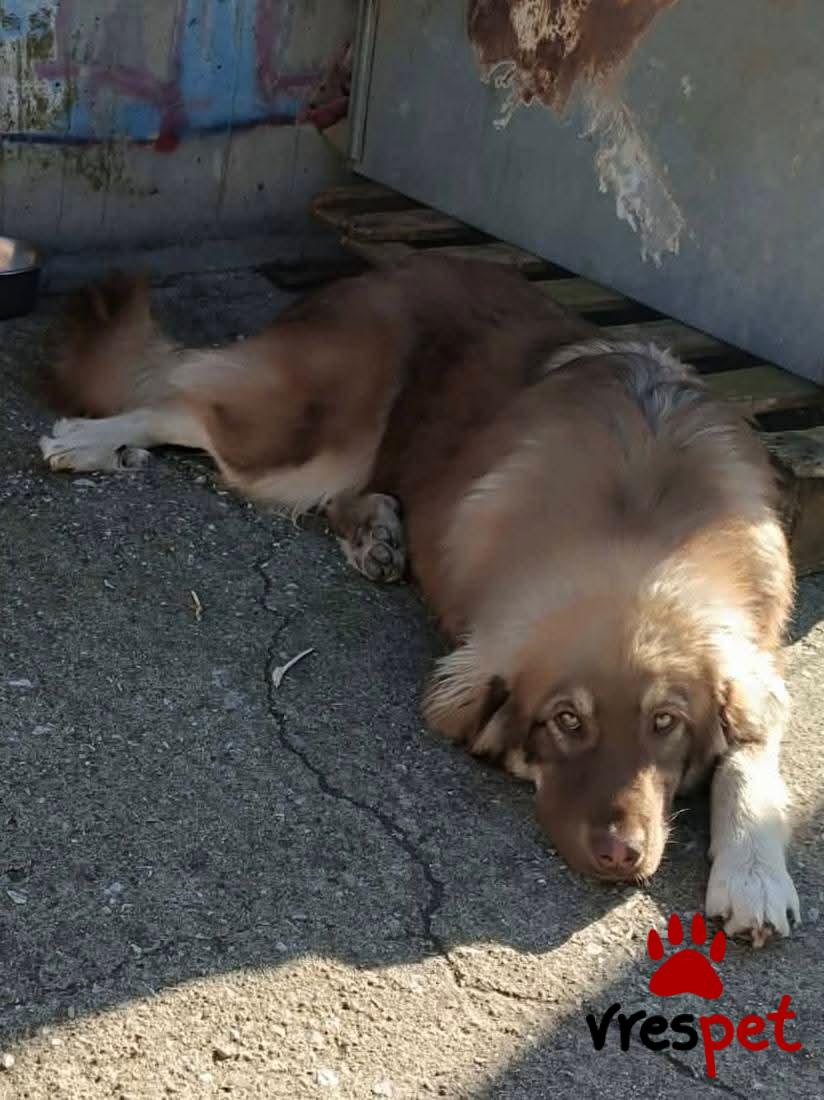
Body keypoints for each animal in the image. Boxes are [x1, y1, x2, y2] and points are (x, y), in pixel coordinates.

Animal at [39, 255, 800, 945]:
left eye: (666, 722)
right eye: (565, 721)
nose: (621, 855)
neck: (640, 537)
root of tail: (387, 269)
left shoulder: (756, 671)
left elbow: (749, 762)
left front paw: (754, 877)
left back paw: (376, 532)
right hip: (311, 429)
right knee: (179, 405)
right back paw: (92, 437)